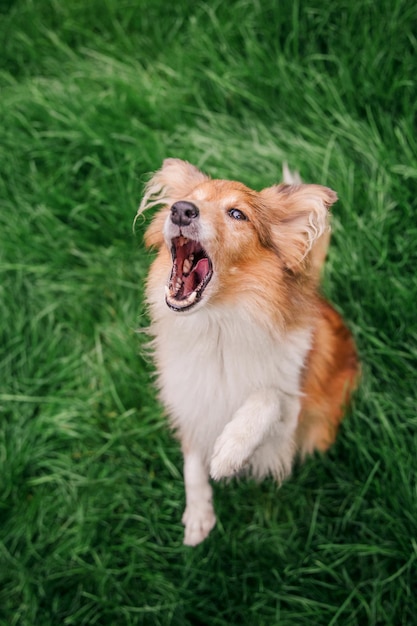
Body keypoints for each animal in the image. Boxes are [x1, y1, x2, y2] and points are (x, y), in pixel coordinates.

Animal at [136, 158, 358, 544]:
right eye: (184, 200)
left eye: (237, 213)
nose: (181, 210)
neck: (217, 328)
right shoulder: (191, 402)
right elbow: (192, 461)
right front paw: (199, 514)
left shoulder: (287, 434)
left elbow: (268, 396)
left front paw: (230, 449)